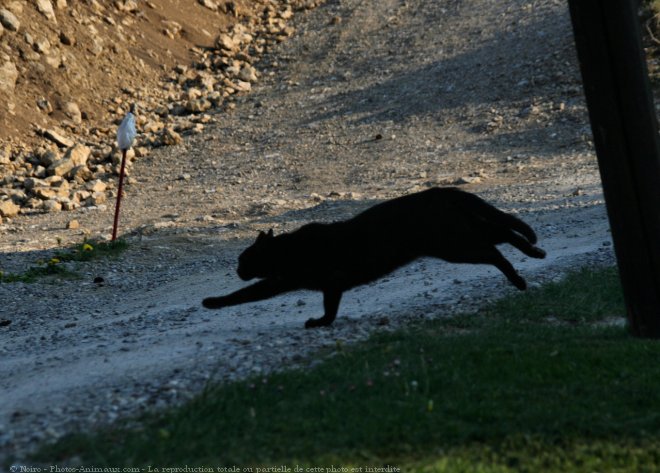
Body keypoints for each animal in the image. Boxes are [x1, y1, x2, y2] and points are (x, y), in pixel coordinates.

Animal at [201, 186, 548, 326]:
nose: (237, 271)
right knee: (504, 232)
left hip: (454, 245)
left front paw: (211, 302)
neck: (287, 250)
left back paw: (518, 279)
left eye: (242, 261)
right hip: (465, 231)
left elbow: (245, 294)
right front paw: (323, 323)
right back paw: (536, 251)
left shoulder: (296, 281)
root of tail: (440, 190)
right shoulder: (325, 284)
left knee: (495, 252)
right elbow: (330, 308)